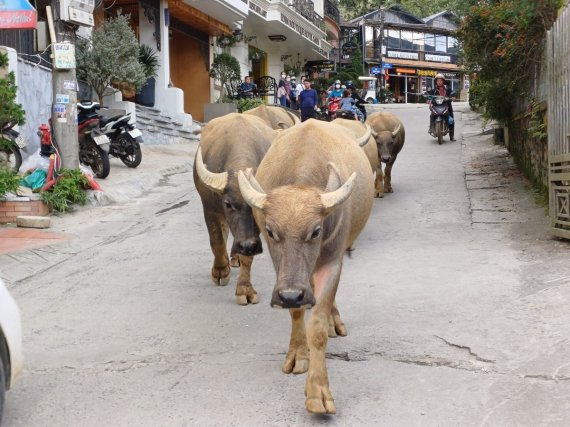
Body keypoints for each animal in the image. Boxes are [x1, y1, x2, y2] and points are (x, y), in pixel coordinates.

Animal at [193, 112, 276, 306]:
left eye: (256, 207)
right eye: (228, 204)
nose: (246, 245)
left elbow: (247, 257)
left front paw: (245, 289)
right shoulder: (210, 208)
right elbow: (216, 241)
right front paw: (220, 271)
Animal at [235, 119, 372, 414]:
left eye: (316, 231)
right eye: (271, 231)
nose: (290, 295)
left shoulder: (332, 260)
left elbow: (317, 327)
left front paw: (318, 393)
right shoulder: (283, 272)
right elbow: (297, 312)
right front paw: (298, 354)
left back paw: (334, 321)